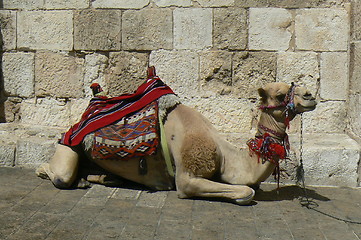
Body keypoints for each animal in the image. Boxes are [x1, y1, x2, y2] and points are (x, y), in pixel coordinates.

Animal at [35, 70, 316, 206]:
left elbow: (251, 186)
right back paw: (56, 175)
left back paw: (99, 178)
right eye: (279, 95)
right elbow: (246, 191)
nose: (310, 95)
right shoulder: (187, 178)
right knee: (58, 175)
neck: (228, 156)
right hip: (69, 149)